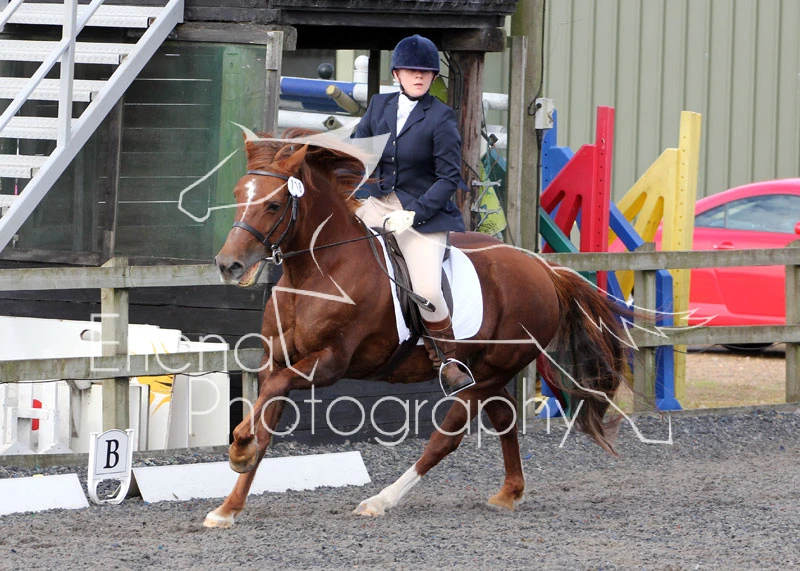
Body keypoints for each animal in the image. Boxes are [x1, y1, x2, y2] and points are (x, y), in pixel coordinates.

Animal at [205, 128, 631, 528]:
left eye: (273, 204)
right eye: (238, 194)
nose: (228, 265)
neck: (316, 272)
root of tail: (543, 268)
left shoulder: (328, 363)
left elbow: (270, 403)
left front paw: (239, 448)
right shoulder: (276, 362)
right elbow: (266, 421)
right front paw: (228, 507)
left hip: (486, 374)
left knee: (446, 439)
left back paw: (380, 500)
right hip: (488, 372)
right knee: (504, 419)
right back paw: (509, 493)